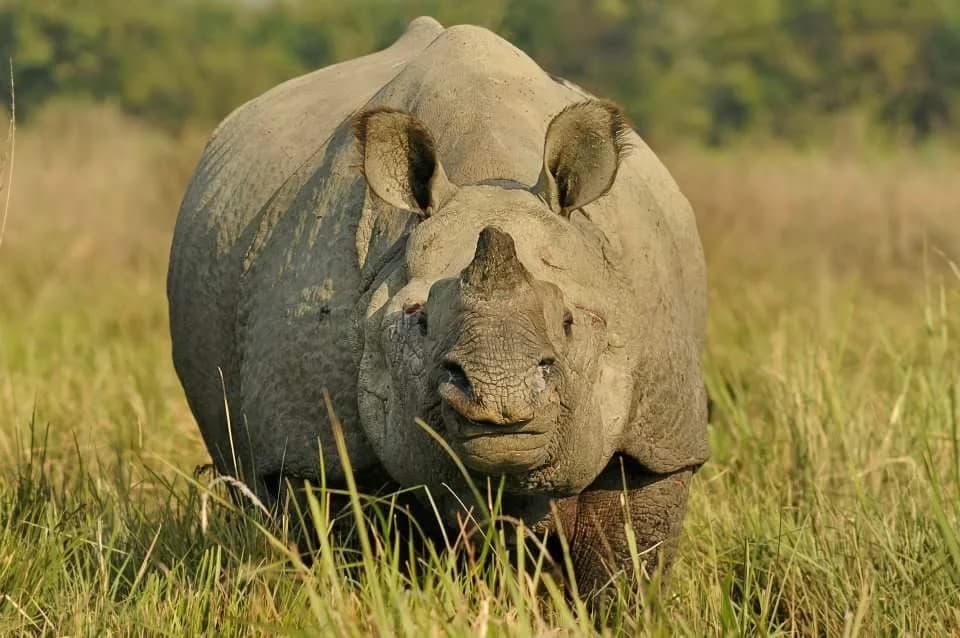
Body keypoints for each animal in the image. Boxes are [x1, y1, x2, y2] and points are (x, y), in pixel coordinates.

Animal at [167, 16, 709, 592]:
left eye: (569, 322)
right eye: (419, 319)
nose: (501, 398)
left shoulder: (660, 440)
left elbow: (626, 563)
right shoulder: (307, 441)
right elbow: (343, 549)